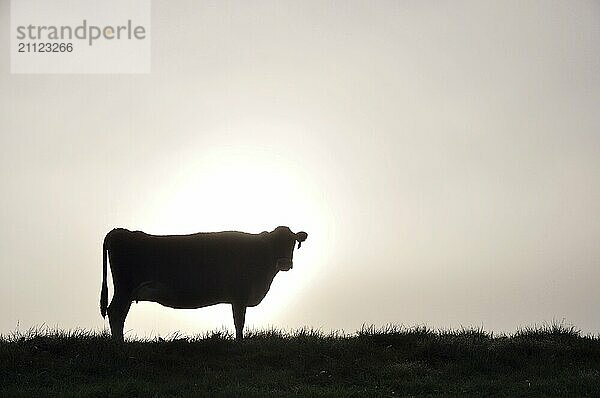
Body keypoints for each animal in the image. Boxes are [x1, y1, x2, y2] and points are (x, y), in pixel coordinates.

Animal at [101, 225, 308, 340]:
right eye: (274, 243)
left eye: (292, 243)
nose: (284, 263)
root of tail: (119, 231)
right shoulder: (239, 294)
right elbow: (239, 321)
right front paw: (240, 343)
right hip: (124, 288)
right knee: (115, 312)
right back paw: (119, 345)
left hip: (128, 291)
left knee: (119, 314)